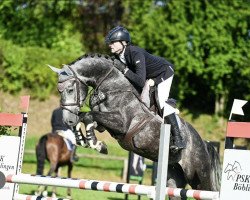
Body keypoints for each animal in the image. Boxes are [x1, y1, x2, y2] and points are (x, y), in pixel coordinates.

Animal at [49, 54, 222, 199]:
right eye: (59, 90)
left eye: (70, 89)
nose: (68, 121)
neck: (113, 87)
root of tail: (204, 143)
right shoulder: (104, 124)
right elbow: (86, 118)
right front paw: (86, 140)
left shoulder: (121, 124)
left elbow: (89, 116)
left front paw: (96, 144)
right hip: (174, 178)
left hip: (199, 176)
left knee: (209, 191)